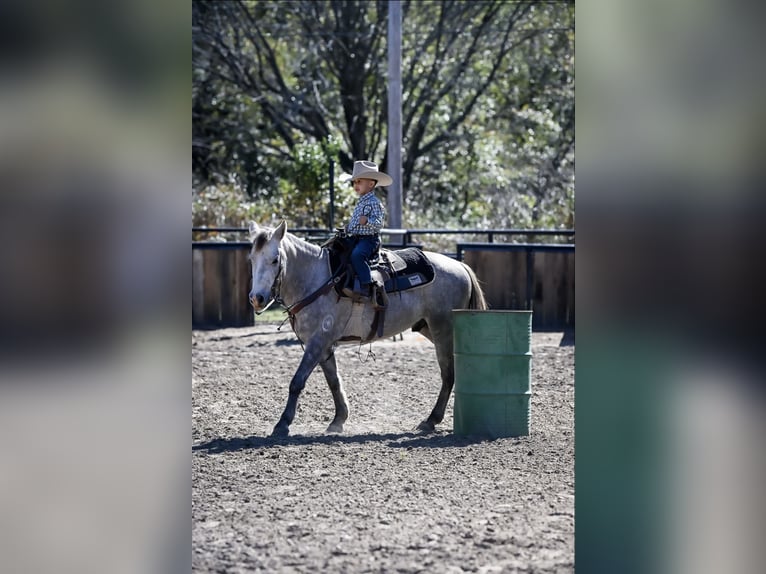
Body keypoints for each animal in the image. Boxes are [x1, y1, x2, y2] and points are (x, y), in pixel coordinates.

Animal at [247, 220, 487, 437]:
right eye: (251, 258)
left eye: (275, 259)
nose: (256, 298)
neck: (315, 279)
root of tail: (460, 266)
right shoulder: (323, 345)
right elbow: (334, 381)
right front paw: (338, 420)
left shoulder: (317, 342)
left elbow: (297, 382)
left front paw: (282, 424)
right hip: (427, 327)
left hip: (442, 329)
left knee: (448, 375)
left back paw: (430, 420)